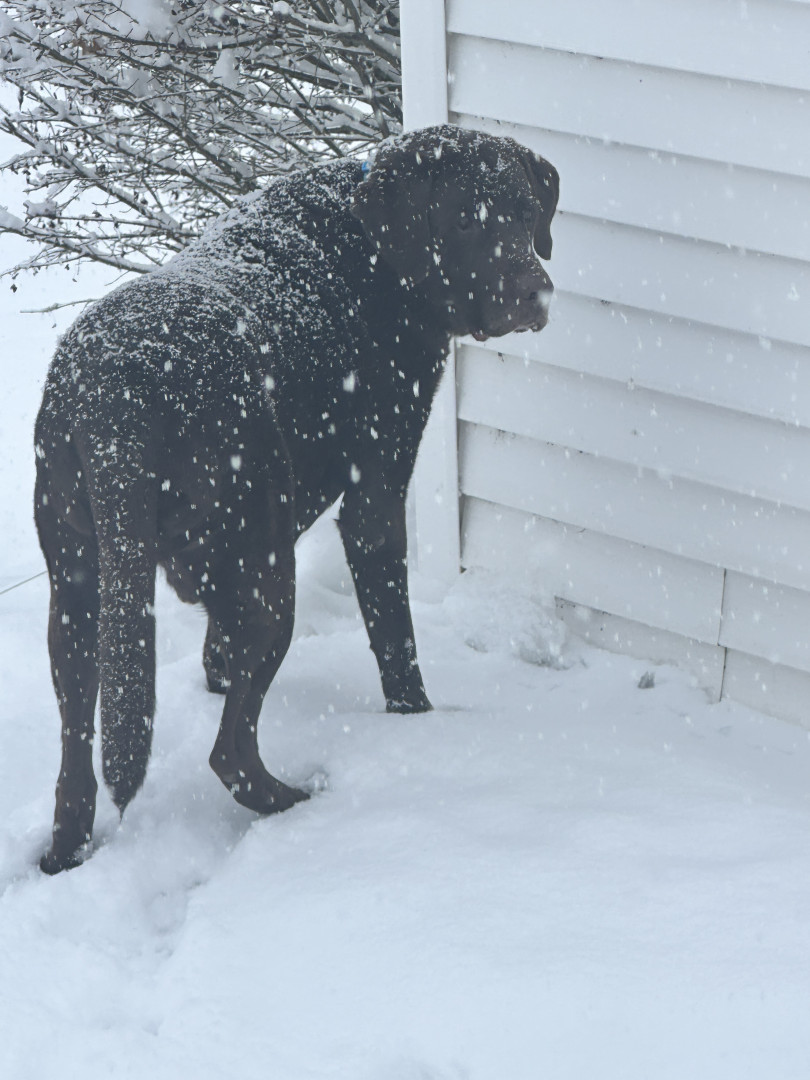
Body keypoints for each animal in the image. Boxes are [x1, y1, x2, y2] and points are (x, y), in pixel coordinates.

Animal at [34, 124, 559, 873]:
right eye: (463, 220)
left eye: (525, 212)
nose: (535, 294)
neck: (377, 245)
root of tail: (121, 396)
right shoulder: (375, 490)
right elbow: (395, 638)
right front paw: (419, 722)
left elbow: (217, 648)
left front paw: (215, 673)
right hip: (267, 572)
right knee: (230, 753)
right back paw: (295, 800)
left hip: (78, 589)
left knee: (77, 752)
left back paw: (63, 853)